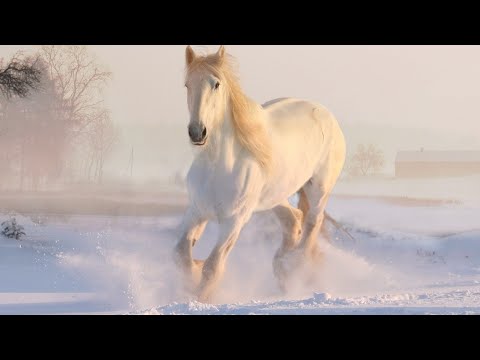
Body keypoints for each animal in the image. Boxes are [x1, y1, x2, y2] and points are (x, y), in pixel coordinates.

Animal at [175, 45, 344, 304]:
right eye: (187, 84)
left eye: (216, 84)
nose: (197, 132)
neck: (218, 166)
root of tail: (326, 115)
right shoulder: (196, 211)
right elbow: (181, 254)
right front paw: (192, 274)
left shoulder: (234, 221)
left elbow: (213, 267)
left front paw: (201, 298)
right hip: (275, 197)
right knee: (293, 220)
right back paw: (282, 270)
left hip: (319, 189)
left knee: (312, 224)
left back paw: (293, 269)